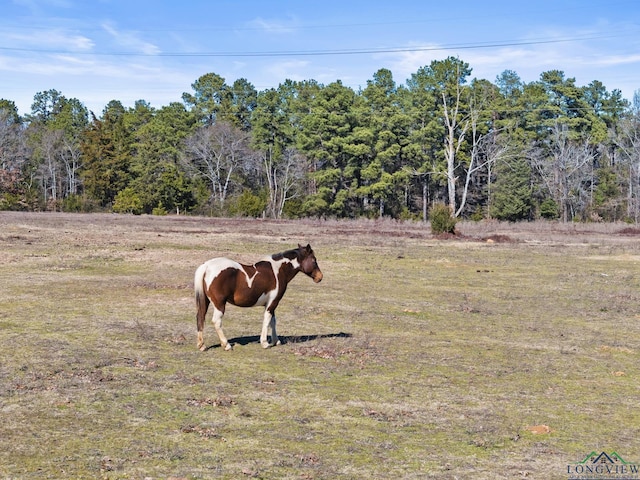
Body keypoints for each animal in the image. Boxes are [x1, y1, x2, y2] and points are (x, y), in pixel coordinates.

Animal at [192, 246, 322, 350]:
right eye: (314, 260)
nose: (320, 277)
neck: (278, 270)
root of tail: (206, 266)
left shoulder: (270, 304)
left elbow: (273, 321)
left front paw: (276, 341)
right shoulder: (272, 303)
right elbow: (267, 321)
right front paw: (265, 343)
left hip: (206, 301)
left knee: (200, 318)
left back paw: (202, 345)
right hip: (219, 304)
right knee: (216, 321)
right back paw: (226, 345)